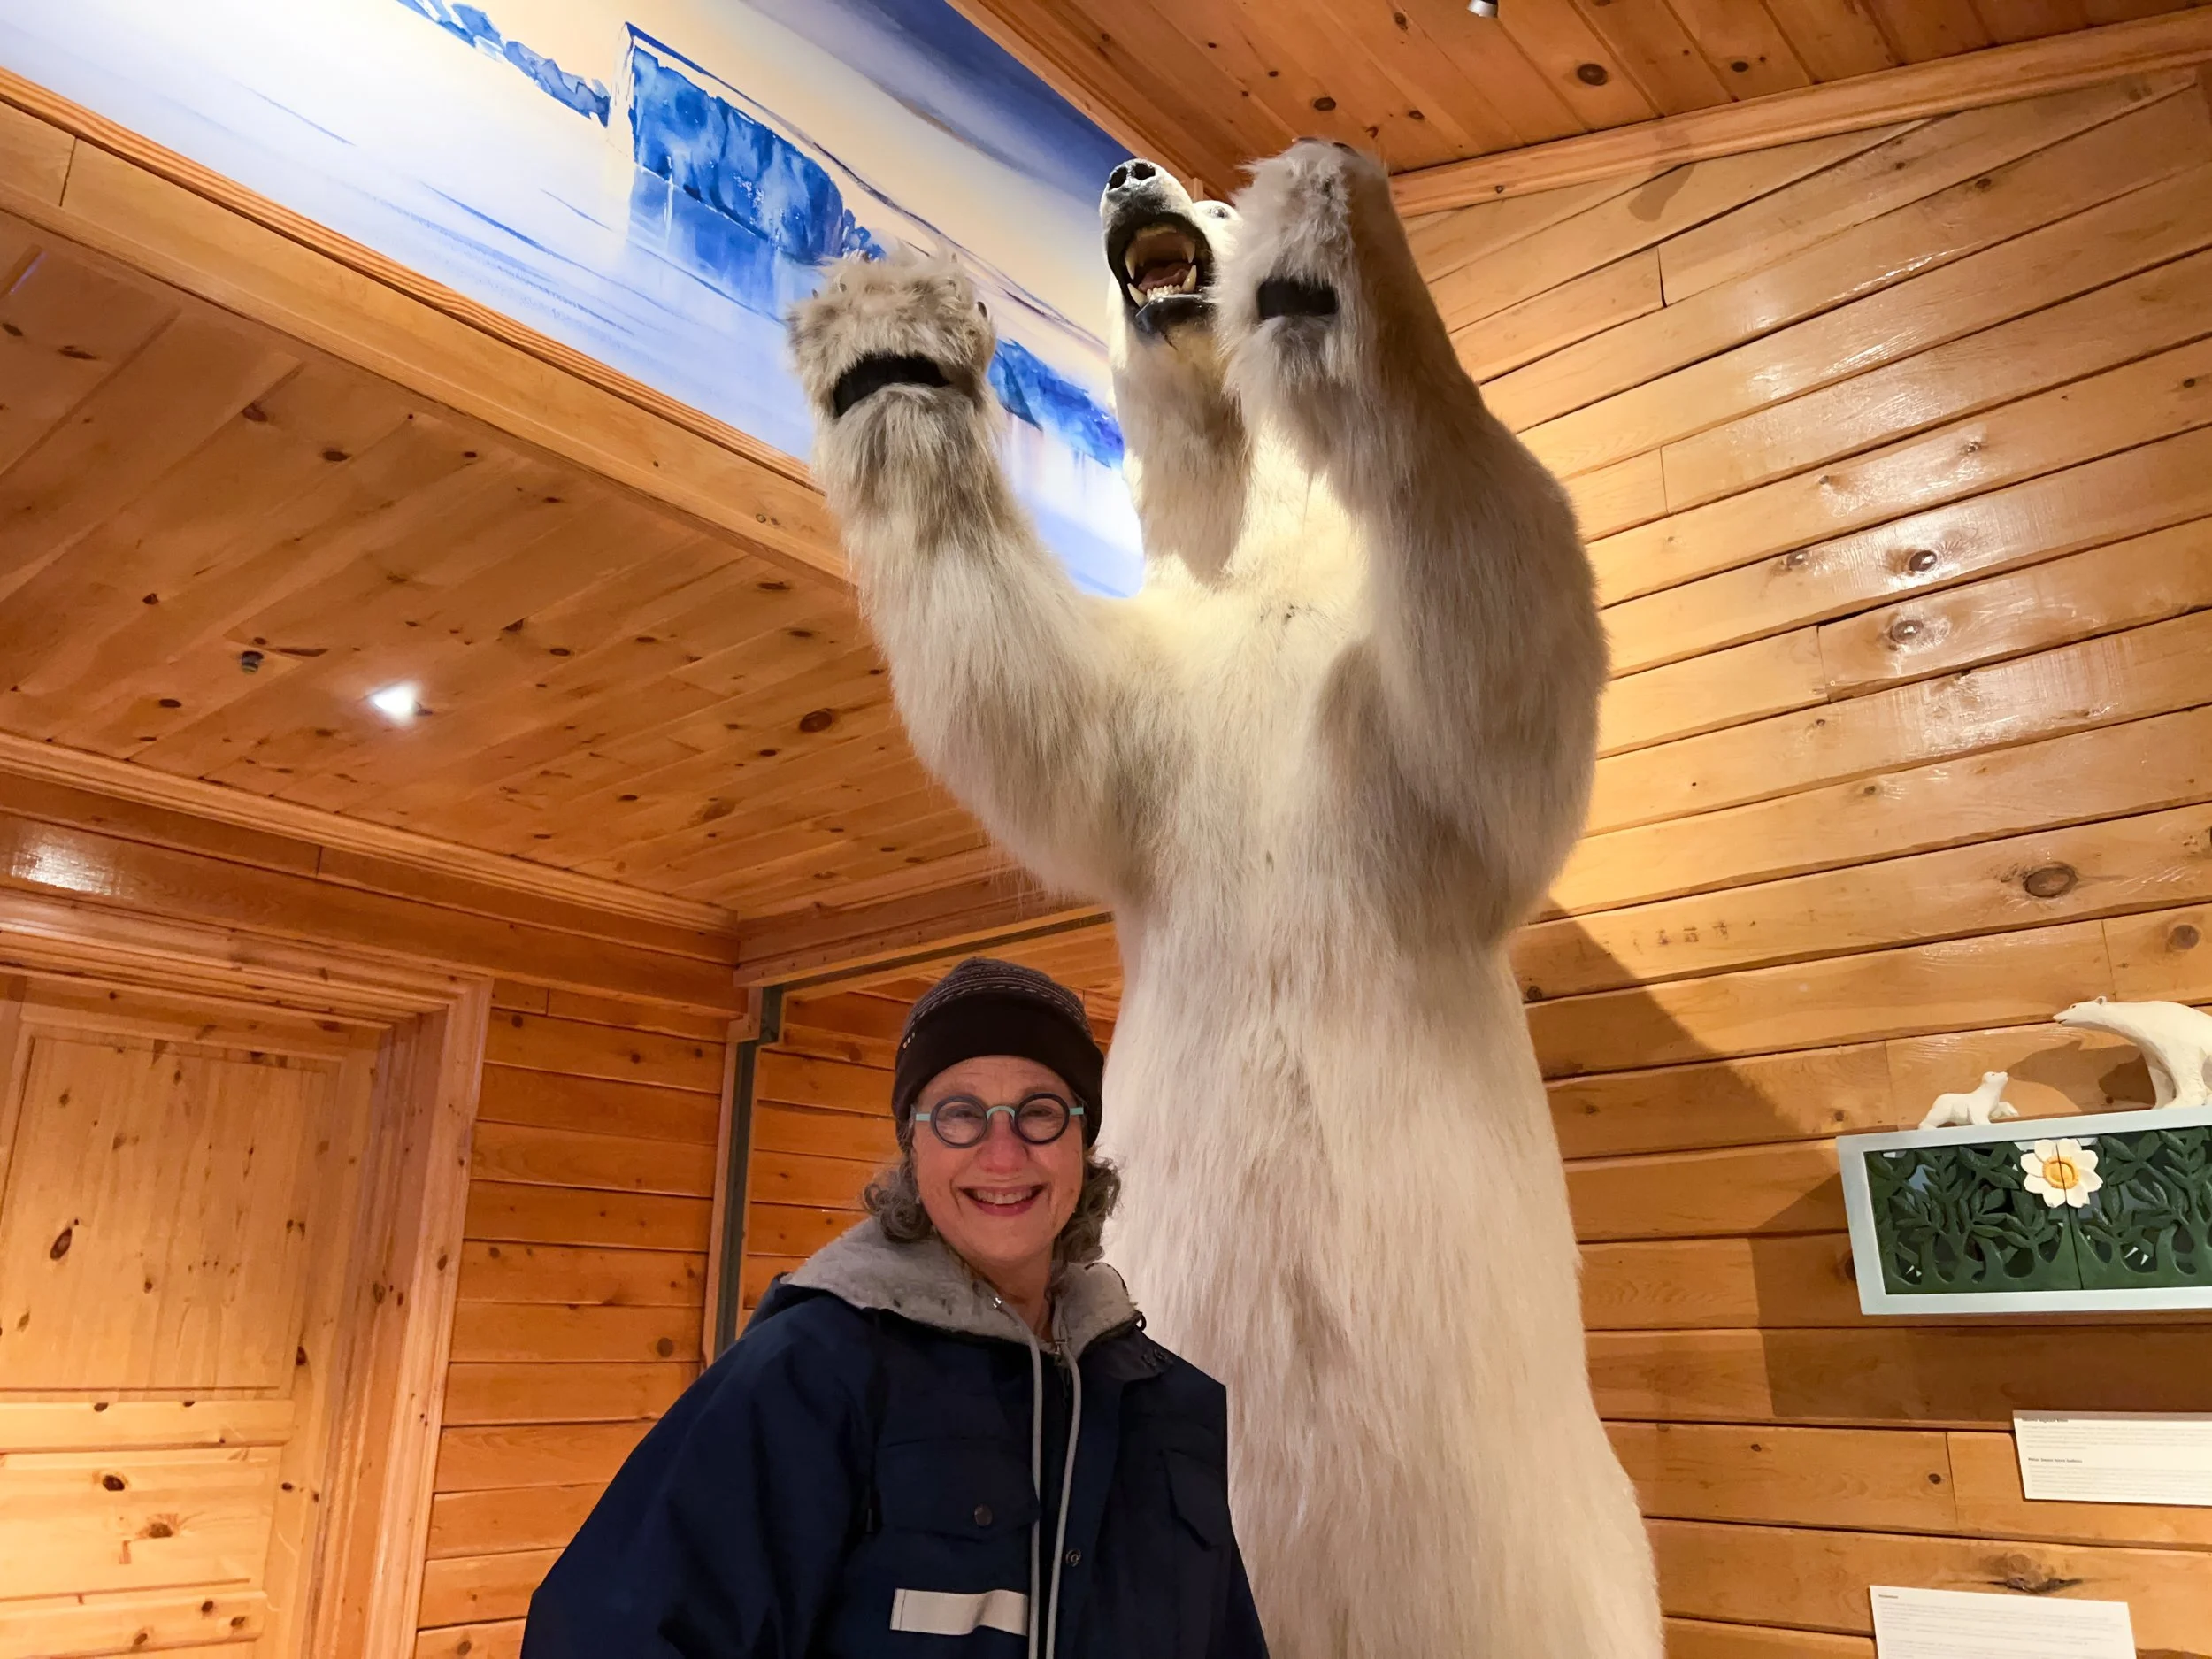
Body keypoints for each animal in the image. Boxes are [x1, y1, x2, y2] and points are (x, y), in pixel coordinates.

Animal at [789, 139, 1661, 1658]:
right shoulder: (1155, 714)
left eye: (1202, 186)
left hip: (1559, 1561)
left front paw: (1326, 256)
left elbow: (1505, 658)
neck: (1259, 564)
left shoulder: (1393, 740)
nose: (1125, 169)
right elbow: (1024, 705)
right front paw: (892, 333)